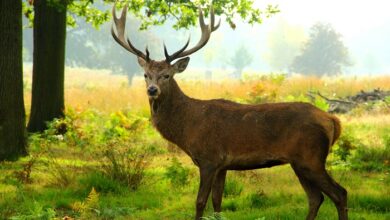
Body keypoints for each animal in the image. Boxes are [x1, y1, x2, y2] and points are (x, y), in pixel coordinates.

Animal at [112, 3, 348, 220]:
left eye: (167, 75)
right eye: (146, 75)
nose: (152, 89)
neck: (187, 127)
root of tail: (333, 120)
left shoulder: (209, 158)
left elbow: (200, 202)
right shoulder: (222, 165)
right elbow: (217, 202)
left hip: (311, 157)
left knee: (339, 193)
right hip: (299, 162)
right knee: (316, 197)